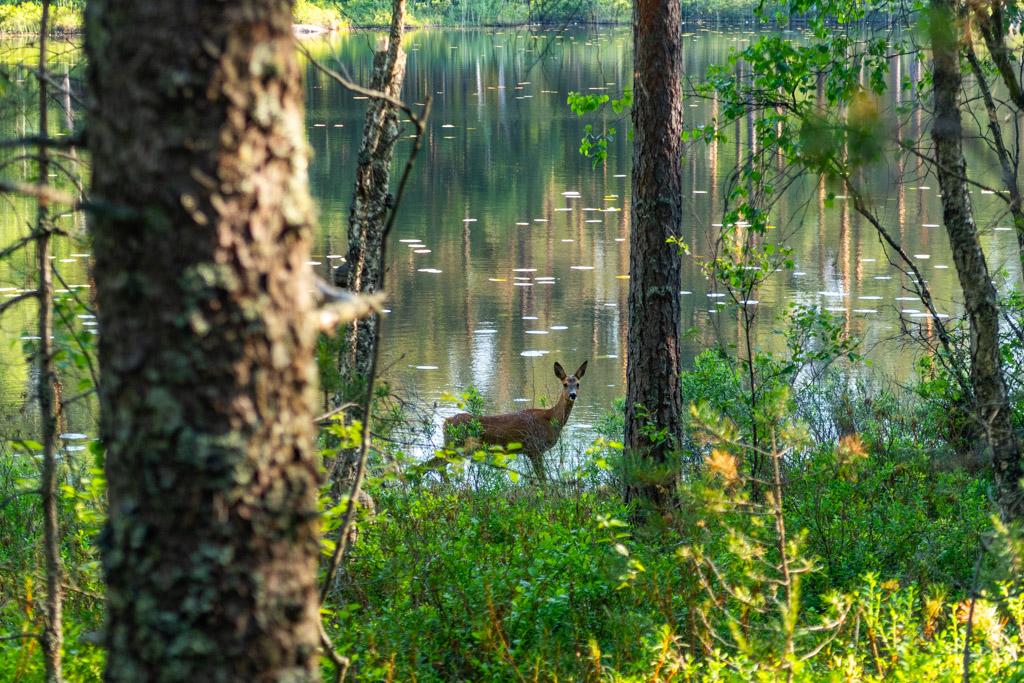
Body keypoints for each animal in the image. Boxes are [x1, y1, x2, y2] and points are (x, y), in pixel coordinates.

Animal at [442, 362, 593, 481]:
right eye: (565, 384)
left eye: (578, 384)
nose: (572, 395)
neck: (551, 418)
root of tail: (446, 422)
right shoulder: (534, 448)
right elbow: (543, 479)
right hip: (457, 444)